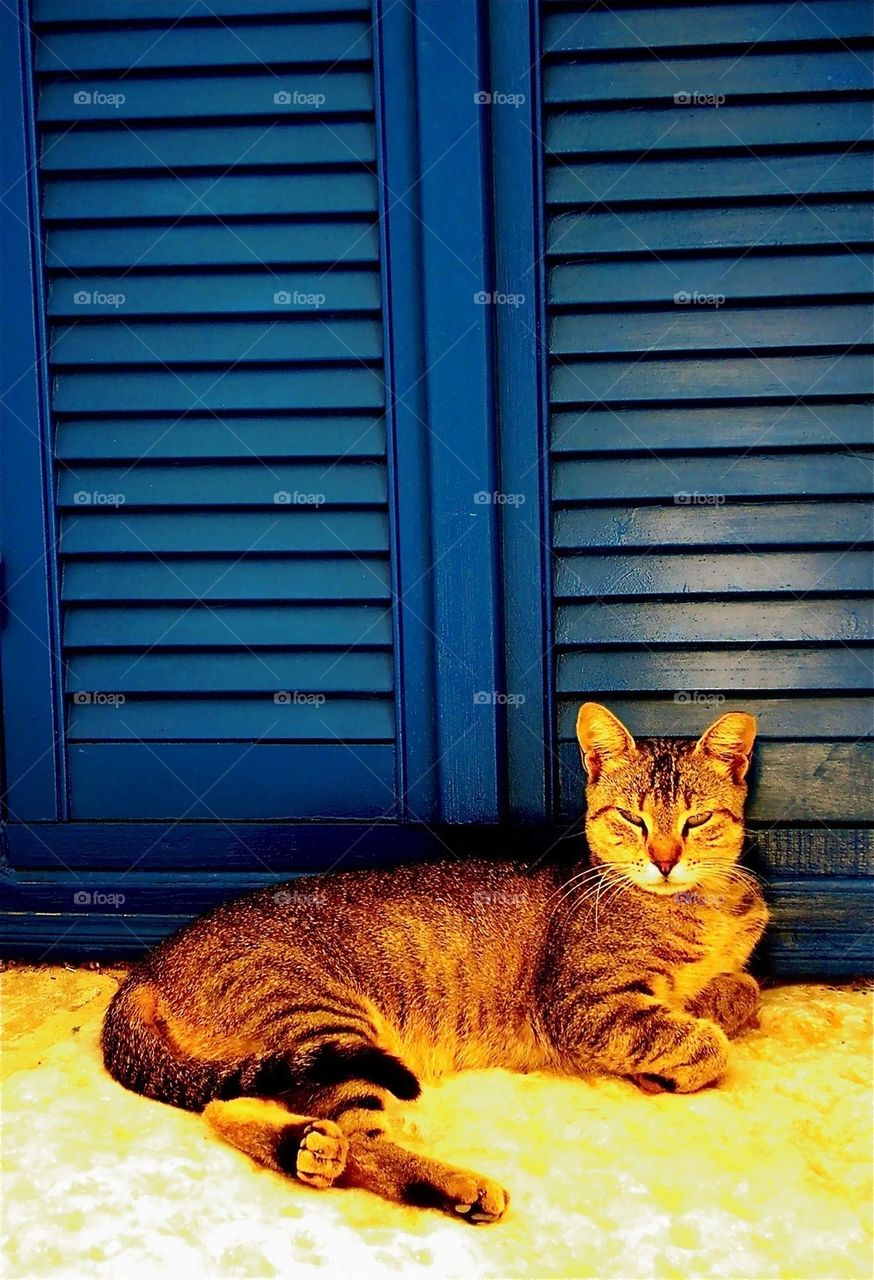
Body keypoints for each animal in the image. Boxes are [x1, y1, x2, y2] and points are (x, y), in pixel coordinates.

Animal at [104, 706, 767, 1223]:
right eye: (632, 818)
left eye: (697, 820)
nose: (664, 859)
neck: (697, 908)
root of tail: (147, 967)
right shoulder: (584, 1006)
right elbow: (706, 1042)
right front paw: (675, 1062)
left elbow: (741, 989)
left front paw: (706, 1012)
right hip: (326, 1022)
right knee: (360, 1143)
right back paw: (451, 1186)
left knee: (227, 1107)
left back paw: (305, 1149)